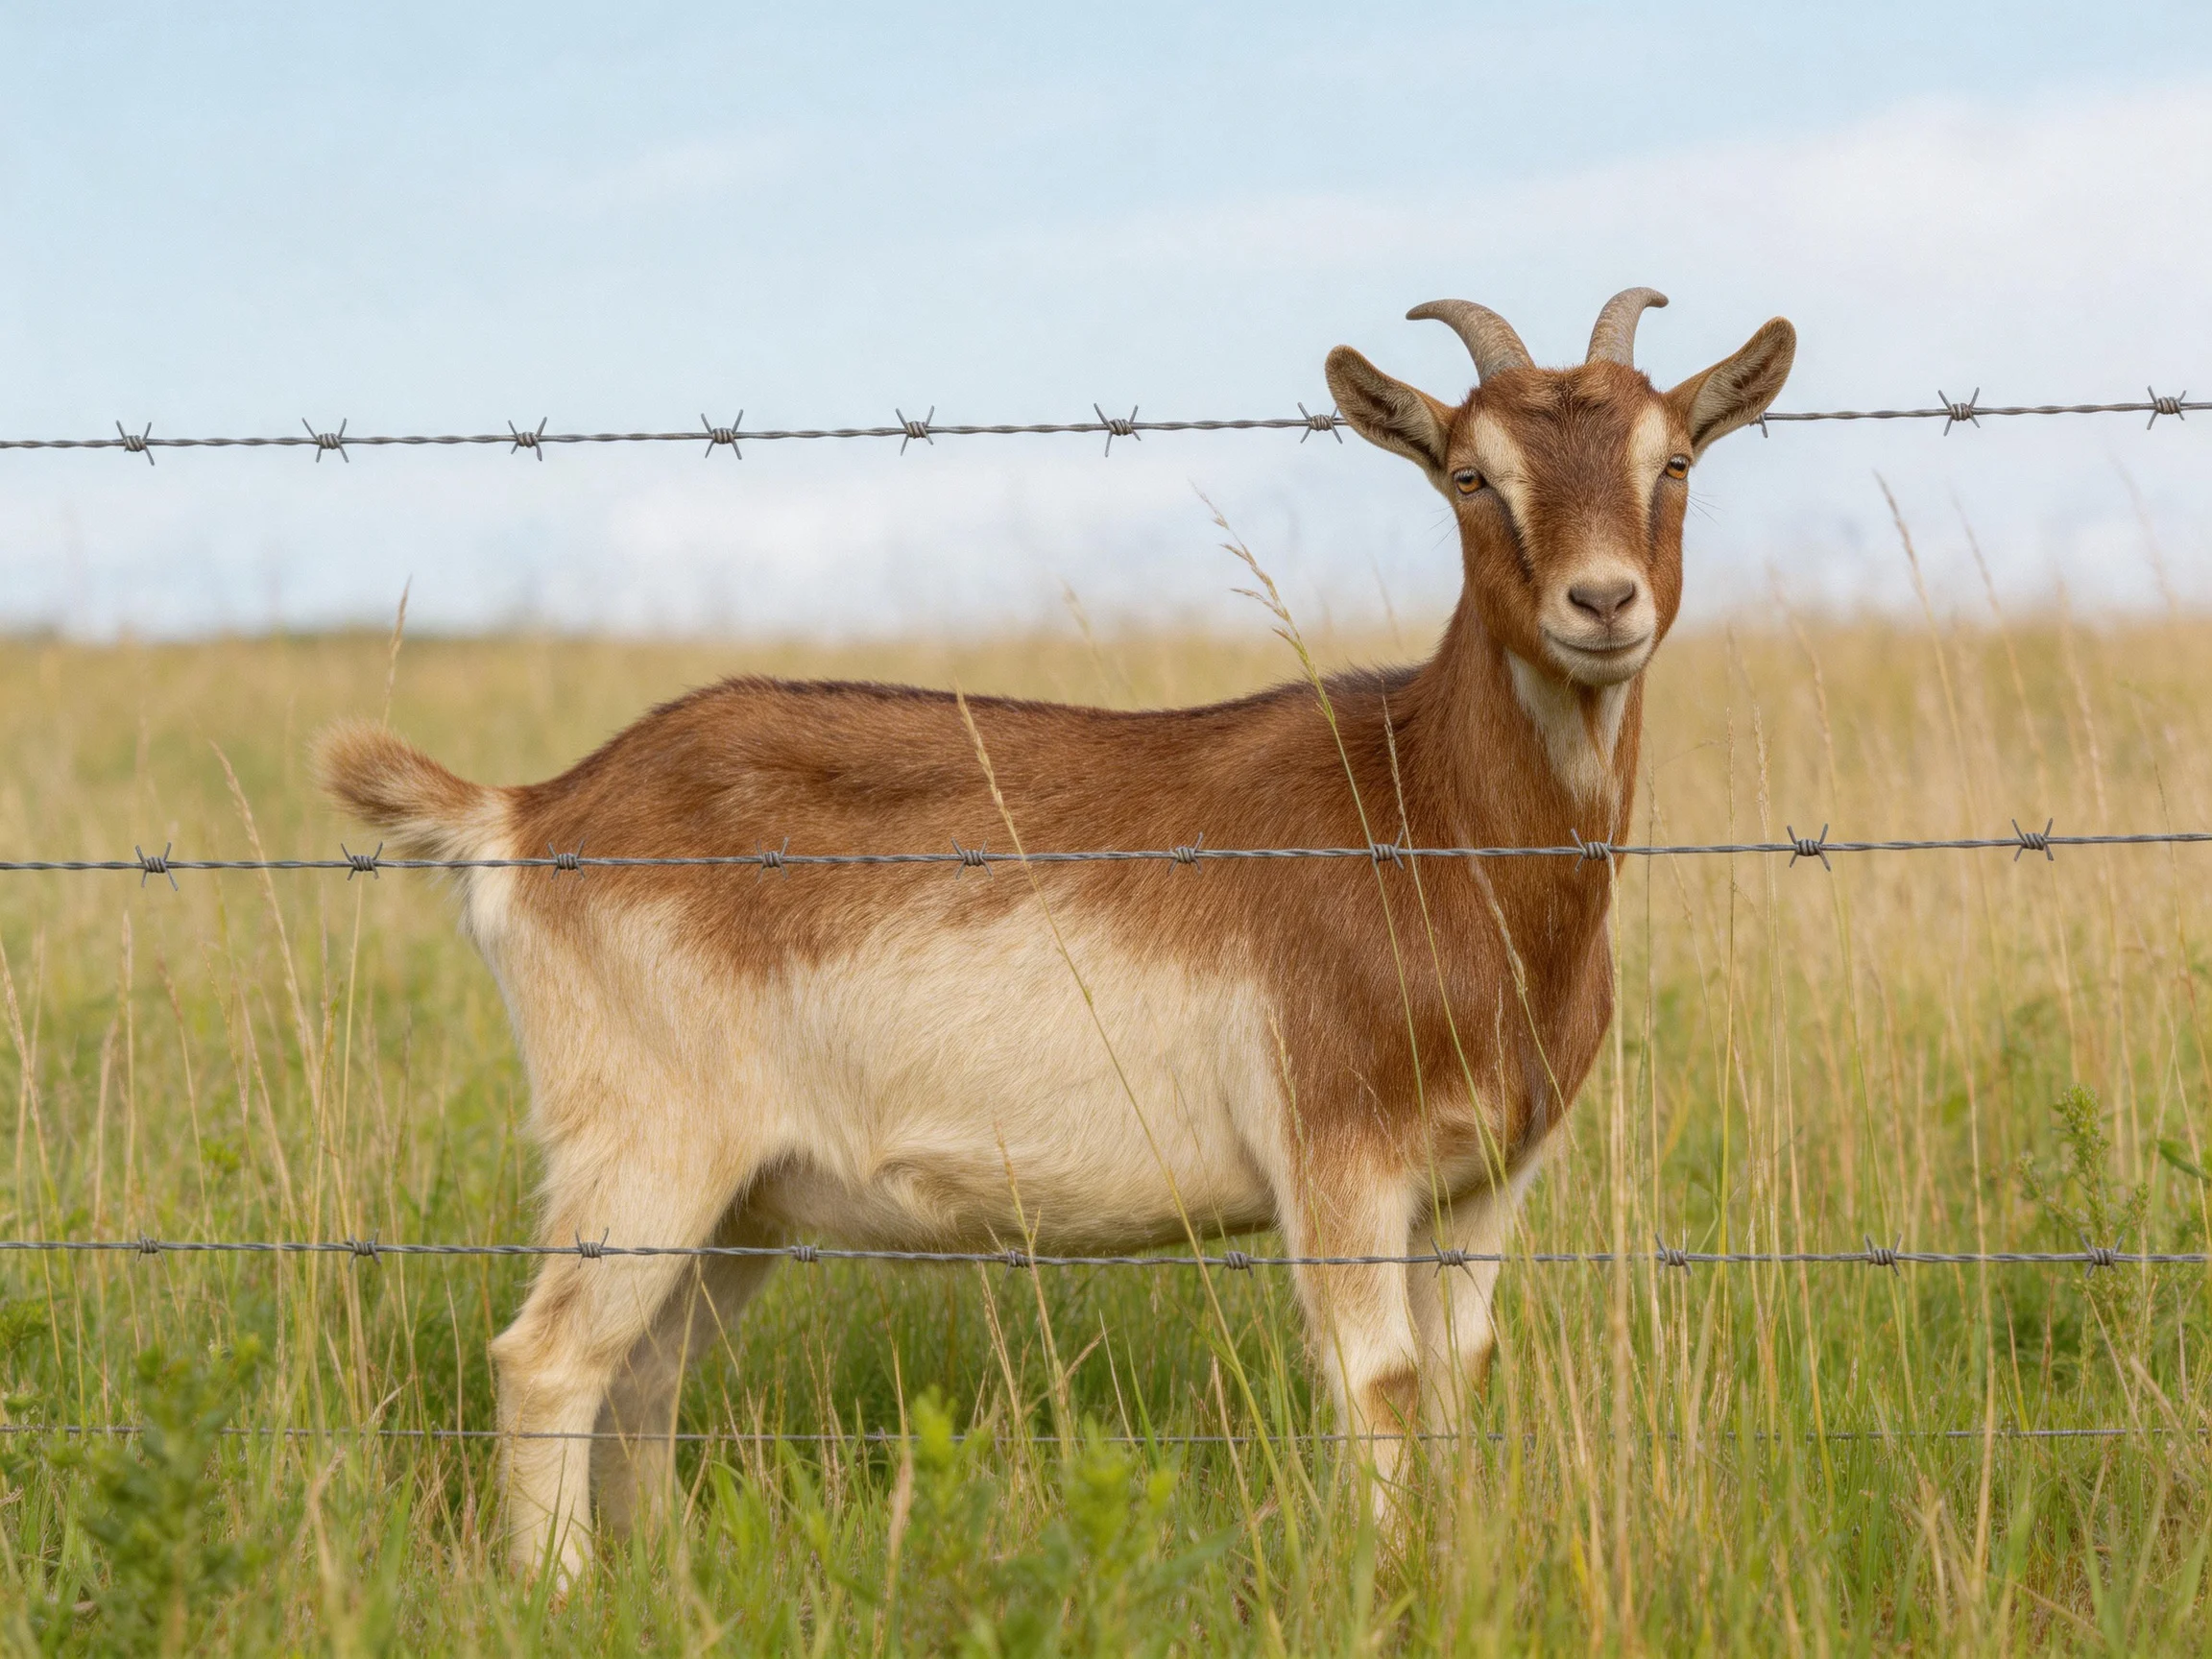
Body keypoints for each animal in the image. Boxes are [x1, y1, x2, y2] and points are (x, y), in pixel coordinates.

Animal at [316, 288, 1794, 1578]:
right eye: (1471, 475)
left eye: (1673, 458)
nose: (1601, 605)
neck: (1421, 812)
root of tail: (528, 814)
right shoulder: (1337, 1163)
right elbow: (1375, 1383)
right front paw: (1385, 1582)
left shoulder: (1484, 1182)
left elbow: (1457, 1378)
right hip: (645, 1148)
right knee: (550, 1359)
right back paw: (559, 1591)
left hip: (740, 1199)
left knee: (646, 1373)